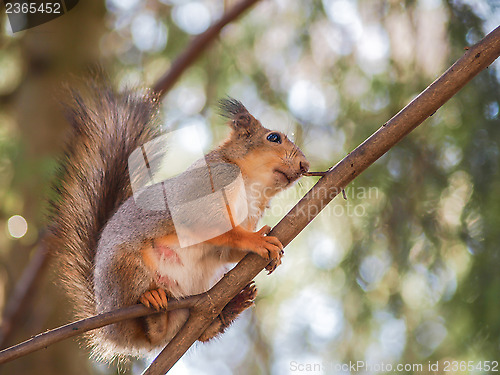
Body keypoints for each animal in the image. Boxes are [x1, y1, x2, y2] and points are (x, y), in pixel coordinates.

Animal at [49, 81, 308, 362]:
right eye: (274, 138)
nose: (305, 165)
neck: (252, 185)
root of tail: (108, 327)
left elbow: (224, 251)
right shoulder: (208, 187)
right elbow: (217, 228)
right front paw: (257, 239)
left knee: (178, 334)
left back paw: (226, 310)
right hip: (125, 268)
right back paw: (151, 299)